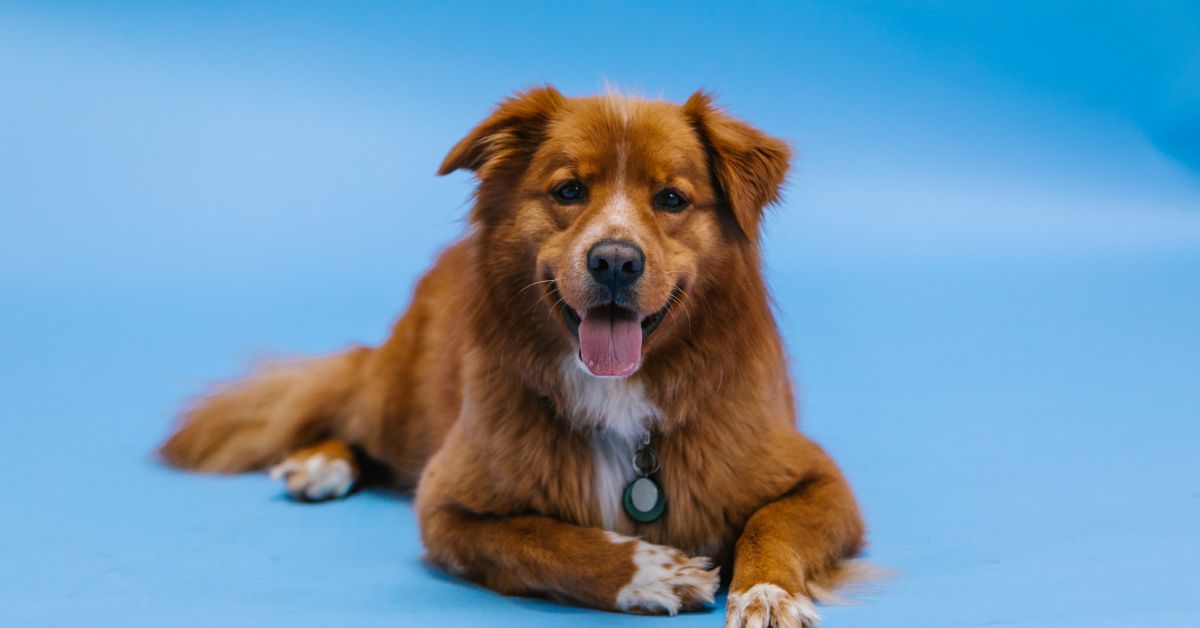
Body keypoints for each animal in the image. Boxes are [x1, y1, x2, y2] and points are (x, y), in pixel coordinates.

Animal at [164, 88, 868, 628]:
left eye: (672, 198)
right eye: (569, 190)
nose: (616, 260)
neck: (619, 394)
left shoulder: (821, 479)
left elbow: (771, 524)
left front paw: (766, 593)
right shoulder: (446, 505)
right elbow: (540, 540)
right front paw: (648, 573)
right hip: (400, 405)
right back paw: (320, 463)